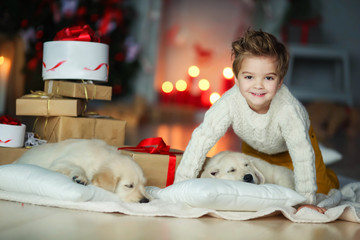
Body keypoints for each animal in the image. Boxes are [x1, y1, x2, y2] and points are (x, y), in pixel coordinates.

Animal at [14, 139, 149, 202]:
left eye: (144, 185)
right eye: (129, 185)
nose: (146, 201)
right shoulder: (62, 162)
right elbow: (76, 167)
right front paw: (81, 178)